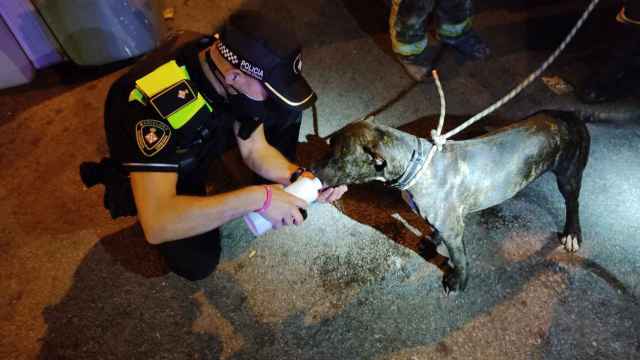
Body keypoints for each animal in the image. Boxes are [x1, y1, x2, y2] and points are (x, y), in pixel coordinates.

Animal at [314, 111, 592, 294]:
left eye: (338, 157)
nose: (310, 169)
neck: (416, 164)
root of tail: (571, 115)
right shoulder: (441, 220)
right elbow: (433, 231)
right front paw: (430, 241)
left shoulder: (454, 230)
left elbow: (459, 258)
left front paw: (458, 281)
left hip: (569, 175)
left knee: (573, 202)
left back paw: (572, 233)